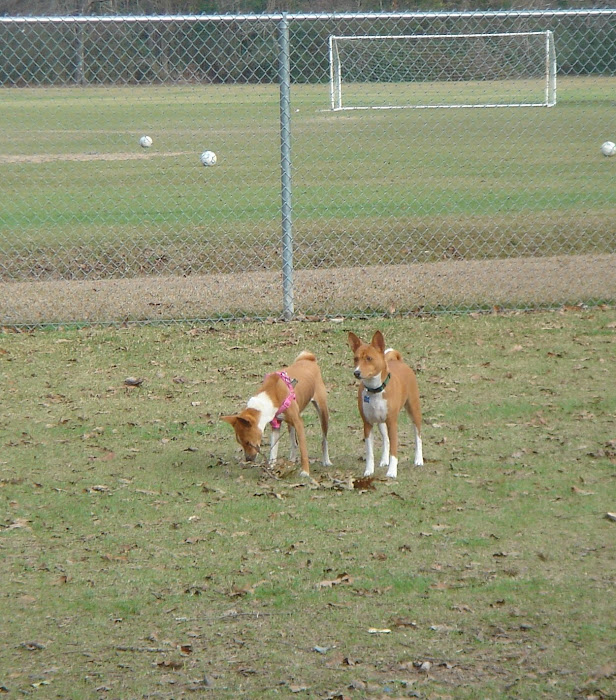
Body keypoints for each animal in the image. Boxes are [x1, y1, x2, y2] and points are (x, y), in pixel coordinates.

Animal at [346, 330, 424, 478]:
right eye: (356, 358)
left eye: (369, 358)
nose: (356, 372)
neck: (375, 390)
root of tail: (399, 361)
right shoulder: (367, 424)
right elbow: (370, 453)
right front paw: (368, 471)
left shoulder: (392, 422)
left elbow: (394, 450)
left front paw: (392, 472)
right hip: (380, 421)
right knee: (386, 439)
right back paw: (384, 460)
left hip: (413, 410)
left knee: (418, 436)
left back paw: (419, 460)